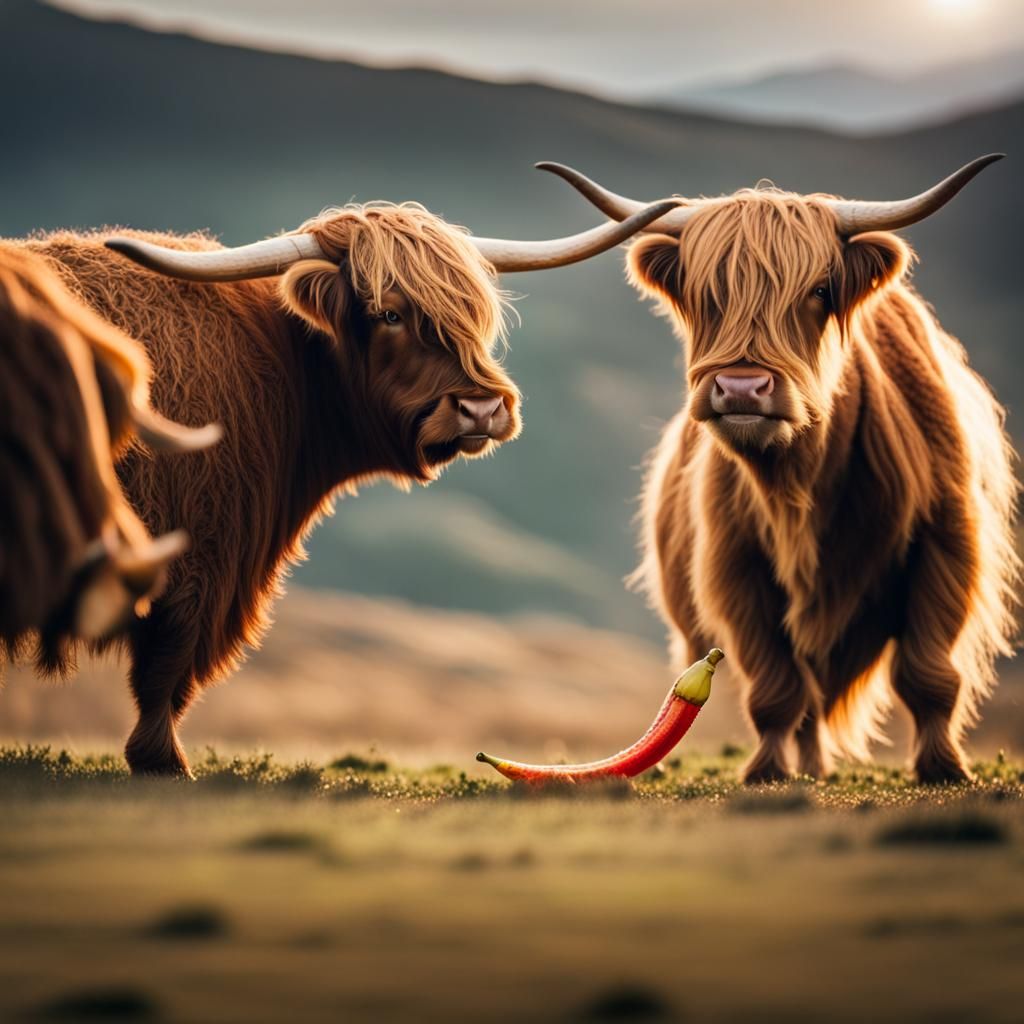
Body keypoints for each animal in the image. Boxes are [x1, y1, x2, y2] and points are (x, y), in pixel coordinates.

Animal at [539, 156, 1018, 783]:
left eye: (818, 289)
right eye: (705, 294)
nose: (742, 386)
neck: (801, 484)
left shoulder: (946, 543)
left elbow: (928, 670)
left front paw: (944, 766)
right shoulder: (734, 566)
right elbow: (774, 686)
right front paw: (766, 770)